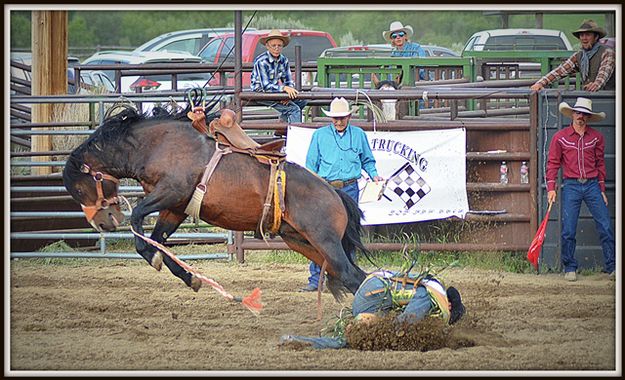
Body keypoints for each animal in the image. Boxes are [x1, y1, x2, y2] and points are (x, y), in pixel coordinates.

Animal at [61, 104, 368, 300]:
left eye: (80, 187)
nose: (101, 223)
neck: (156, 145)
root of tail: (335, 195)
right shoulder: (175, 208)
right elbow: (159, 240)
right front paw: (190, 277)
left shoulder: (171, 192)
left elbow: (138, 218)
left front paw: (153, 257)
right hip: (301, 241)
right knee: (354, 276)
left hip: (323, 240)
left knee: (350, 275)